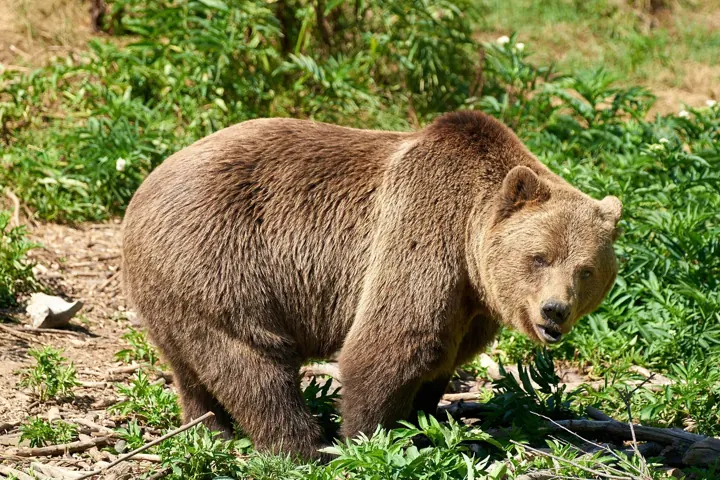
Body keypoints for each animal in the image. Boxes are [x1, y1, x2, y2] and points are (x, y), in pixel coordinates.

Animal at [121, 111, 621, 459]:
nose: (554, 310)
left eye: (585, 270)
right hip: (219, 261)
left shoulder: (470, 306)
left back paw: (210, 430)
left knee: (191, 367)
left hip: (172, 291)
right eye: (539, 256)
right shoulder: (420, 235)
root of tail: (143, 188)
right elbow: (387, 348)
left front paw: (423, 425)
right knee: (252, 361)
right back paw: (301, 447)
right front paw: (366, 439)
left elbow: (439, 362)